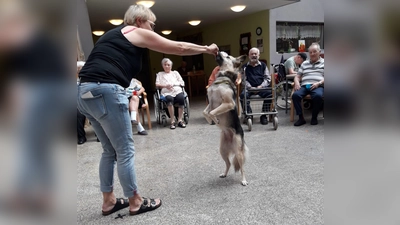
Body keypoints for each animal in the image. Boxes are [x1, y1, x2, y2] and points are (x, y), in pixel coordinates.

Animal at [203, 51, 250, 186]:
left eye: (228, 56)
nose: (218, 51)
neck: (222, 77)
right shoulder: (211, 103)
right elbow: (205, 112)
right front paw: (211, 121)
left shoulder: (228, 104)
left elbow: (212, 112)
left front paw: (215, 119)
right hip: (222, 151)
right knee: (228, 163)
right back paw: (224, 174)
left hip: (239, 154)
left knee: (242, 168)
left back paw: (244, 180)